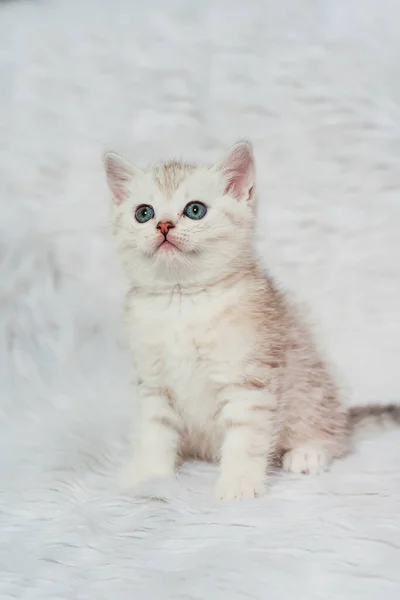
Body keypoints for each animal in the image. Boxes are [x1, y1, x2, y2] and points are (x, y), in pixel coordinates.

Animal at [104, 142, 400, 502]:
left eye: (195, 210)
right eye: (143, 213)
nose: (163, 226)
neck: (182, 300)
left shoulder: (248, 381)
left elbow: (244, 438)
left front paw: (239, 482)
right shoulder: (154, 384)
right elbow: (155, 432)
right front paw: (149, 475)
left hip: (313, 390)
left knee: (335, 436)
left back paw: (309, 451)